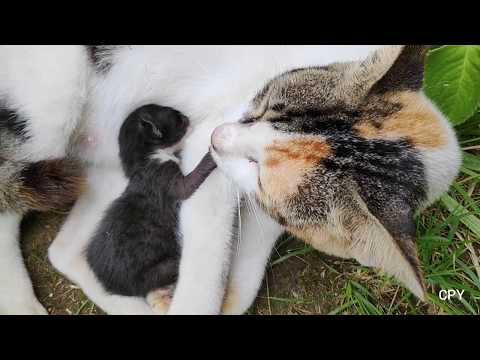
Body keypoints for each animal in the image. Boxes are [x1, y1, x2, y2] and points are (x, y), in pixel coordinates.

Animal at [85, 104, 217, 312]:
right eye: (180, 120)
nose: (188, 118)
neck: (143, 160)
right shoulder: (165, 177)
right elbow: (190, 182)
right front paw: (210, 155)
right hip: (162, 267)